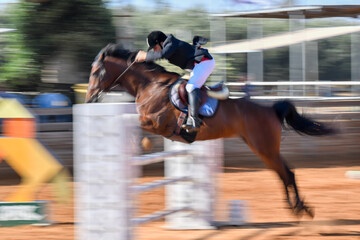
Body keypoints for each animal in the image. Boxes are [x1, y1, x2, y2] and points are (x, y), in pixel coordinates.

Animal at [85, 42, 334, 218]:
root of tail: (270, 110)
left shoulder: (155, 123)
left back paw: (301, 208)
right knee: (284, 174)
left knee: (287, 174)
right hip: (263, 150)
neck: (150, 86)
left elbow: (141, 130)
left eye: (96, 72)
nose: (89, 99)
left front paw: (139, 145)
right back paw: (296, 208)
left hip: (265, 148)